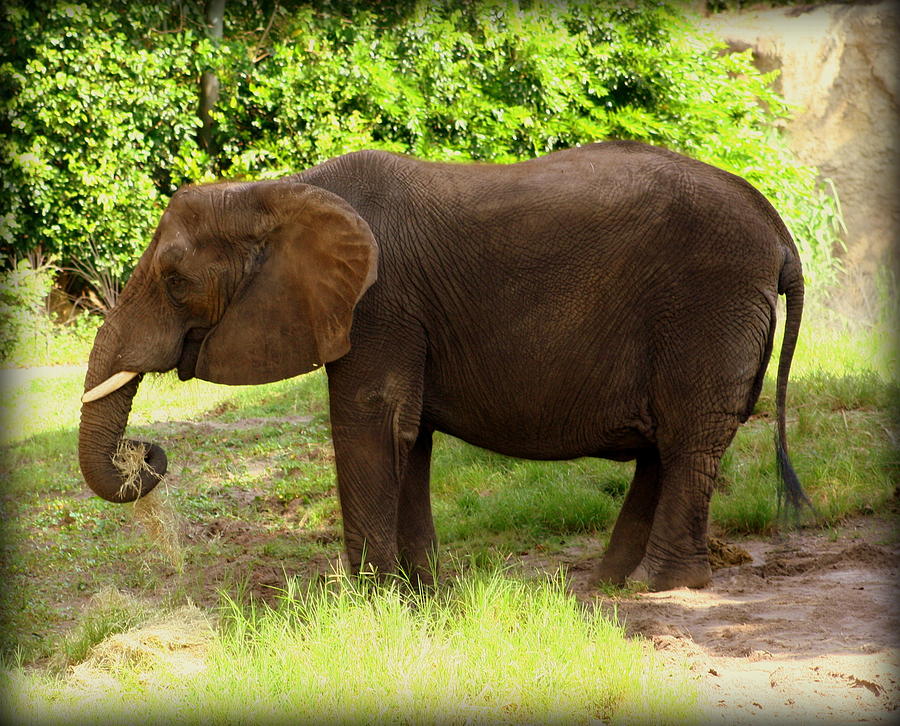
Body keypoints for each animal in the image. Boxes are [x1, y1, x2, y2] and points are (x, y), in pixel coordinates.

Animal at [79, 141, 808, 592]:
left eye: (176, 280)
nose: (147, 451)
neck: (281, 192)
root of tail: (780, 234)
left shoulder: (380, 303)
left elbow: (371, 424)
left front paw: (367, 602)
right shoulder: (397, 317)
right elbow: (409, 435)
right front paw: (421, 594)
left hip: (706, 308)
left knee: (687, 439)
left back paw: (662, 589)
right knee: (668, 445)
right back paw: (607, 587)